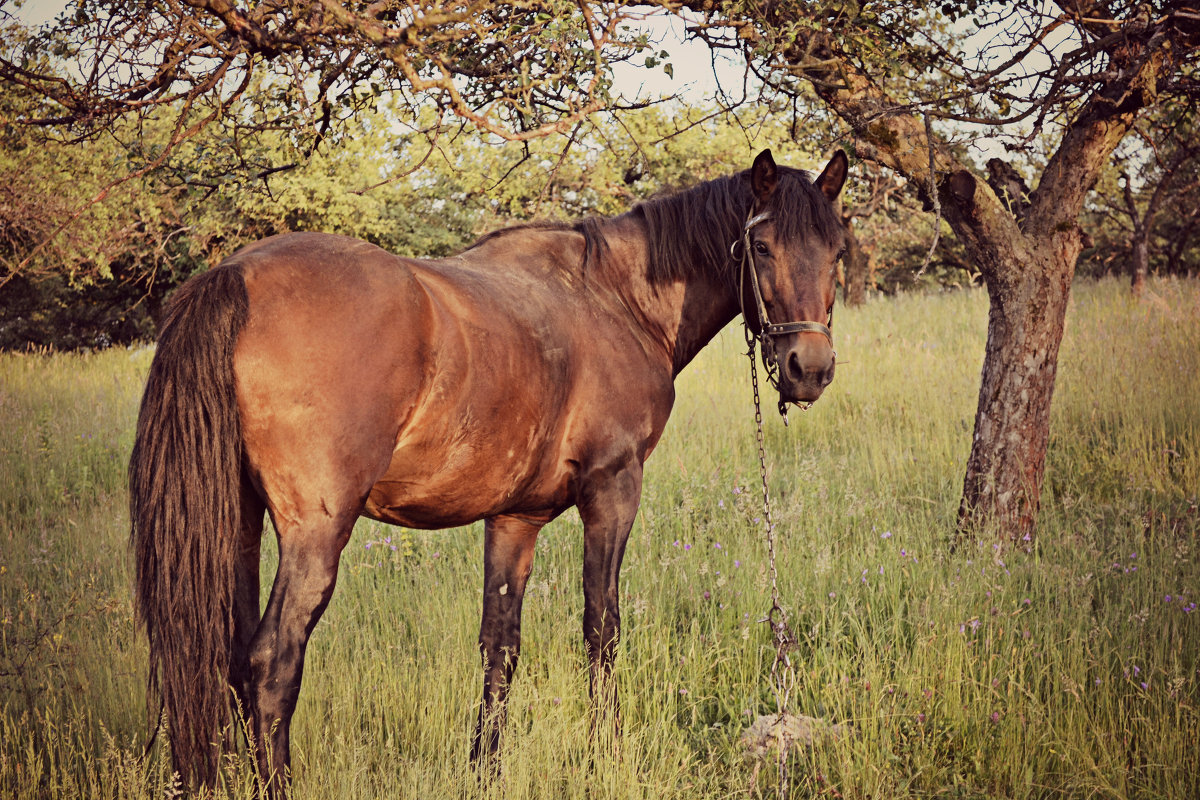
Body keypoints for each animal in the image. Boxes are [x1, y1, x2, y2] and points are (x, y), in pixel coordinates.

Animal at [129, 146, 844, 791]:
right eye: (761, 249)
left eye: (837, 253)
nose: (808, 369)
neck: (615, 301)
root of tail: (235, 275)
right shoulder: (612, 490)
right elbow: (602, 628)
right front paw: (606, 754)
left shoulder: (514, 518)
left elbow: (500, 644)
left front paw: (486, 768)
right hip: (315, 534)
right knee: (272, 660)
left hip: (237, 528)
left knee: (225, 656)